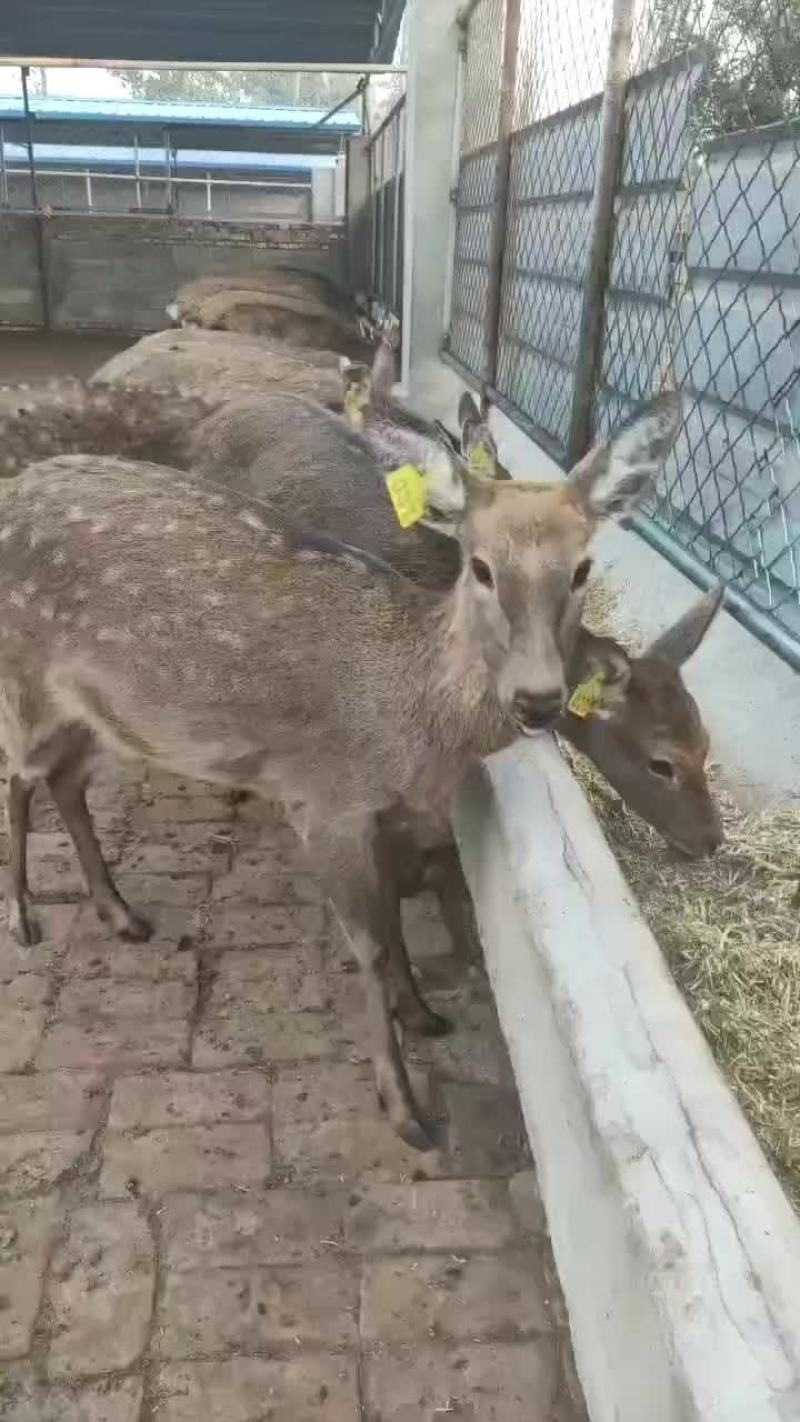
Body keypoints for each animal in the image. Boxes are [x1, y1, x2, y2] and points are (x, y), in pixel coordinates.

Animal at [0, 393, 678, 1147]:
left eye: (583, 567)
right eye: (479, 566)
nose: (537, 698)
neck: (414, 721)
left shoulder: (388, 816)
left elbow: (394, 920)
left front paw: (423, 1013)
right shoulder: (325, 804)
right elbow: (372, 944)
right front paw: (405, 1107)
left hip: (112, 717)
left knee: (64, 781)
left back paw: (122, 914)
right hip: (27, 676)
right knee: (19, 775)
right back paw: (25, 918)